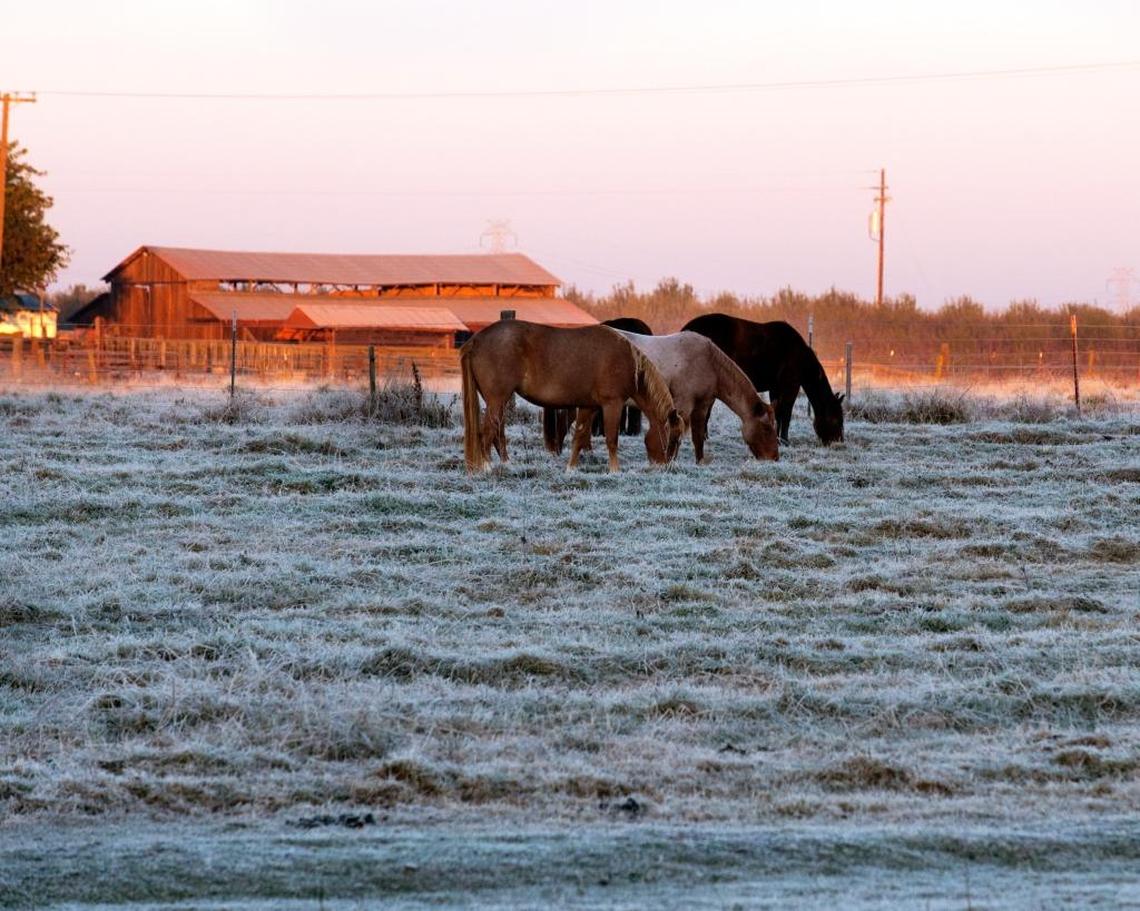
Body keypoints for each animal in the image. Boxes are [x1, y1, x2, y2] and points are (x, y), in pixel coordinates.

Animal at [565, 331, 780, 463]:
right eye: (767, 428)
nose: (774, 458)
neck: (709, 362)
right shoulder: (684, 404)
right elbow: (676, 434)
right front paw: (669, 460)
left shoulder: (702, 405)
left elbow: (698, 437)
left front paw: (699, 462)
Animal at [681, 313, 844, 445]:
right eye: (836, 419)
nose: (839, 441)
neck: (800, 357)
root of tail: (686, 329)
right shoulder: (791, 386)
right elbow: (786, 413)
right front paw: (785, 440)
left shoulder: (776, 388)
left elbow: (778, 412)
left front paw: (776, 438)